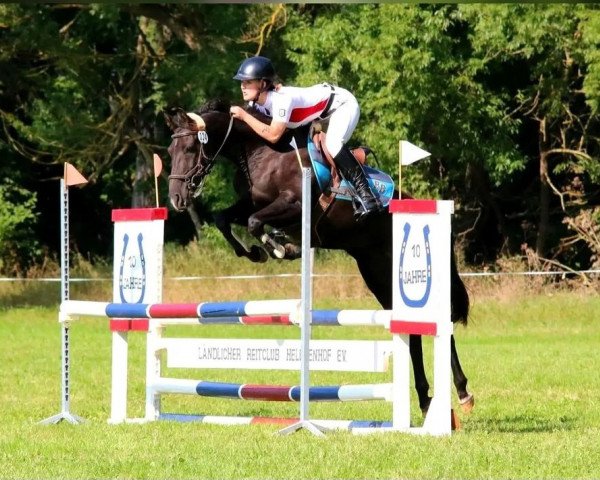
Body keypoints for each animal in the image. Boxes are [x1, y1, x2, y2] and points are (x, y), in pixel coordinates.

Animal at [164, 101, 474, 416]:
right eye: (169, 152)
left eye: (190, 148)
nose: (176, 198)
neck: (260, 151)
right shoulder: (250, 203)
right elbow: (224, 218)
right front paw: (255, 252)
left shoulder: (294, 204)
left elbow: (254, 222)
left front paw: (282, 248)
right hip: (376, 272)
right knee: (411, 329)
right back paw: (426, 400)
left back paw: (461, 393)